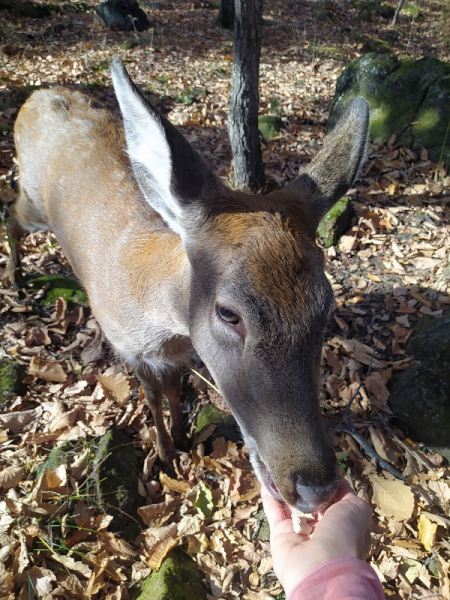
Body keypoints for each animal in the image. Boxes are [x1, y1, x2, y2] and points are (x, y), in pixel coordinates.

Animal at [7, 58, 370, 512]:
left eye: (326, 307)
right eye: (228, 313)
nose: (316, 488)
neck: (158, 321)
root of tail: (37, 96)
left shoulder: (179, 353)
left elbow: (175, 390)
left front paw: (181, 439)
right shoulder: (126, 346)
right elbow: (150, 395)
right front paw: (164, 452)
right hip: (32, 200)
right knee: (9, 209)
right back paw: (15, 276)